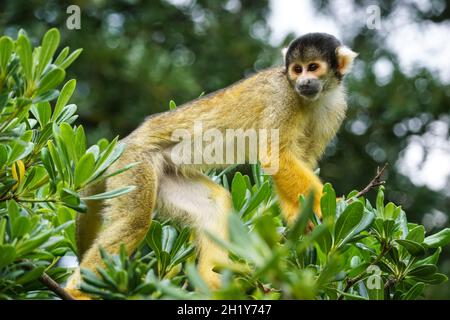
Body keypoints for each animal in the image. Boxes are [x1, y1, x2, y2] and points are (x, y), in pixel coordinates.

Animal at [66, 32, 356, 298]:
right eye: (297, 69)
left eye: (313, 67)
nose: (304, 81)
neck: (313, 98)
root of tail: (124, 142)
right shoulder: (282, 95)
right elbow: (276, 155)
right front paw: (324, 205)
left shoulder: (336, 107)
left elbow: (300, 159)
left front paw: (299, 215)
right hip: (135, 162)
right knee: (134, 220)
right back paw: (77, 291)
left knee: (214, 204)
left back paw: (215, 285)